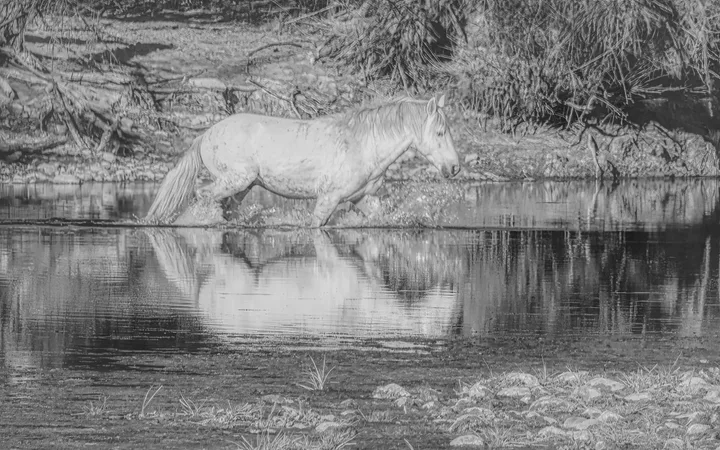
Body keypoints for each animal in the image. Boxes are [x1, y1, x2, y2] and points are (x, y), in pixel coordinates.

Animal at [144, 94, 461, 227]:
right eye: (440, 132)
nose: (454, 168)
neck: (363, 145)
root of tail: (206, 135)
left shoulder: (363, 198)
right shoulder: (328, 199)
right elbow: (316, 226)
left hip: (242, 186)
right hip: (234, 180)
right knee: (202, 196)